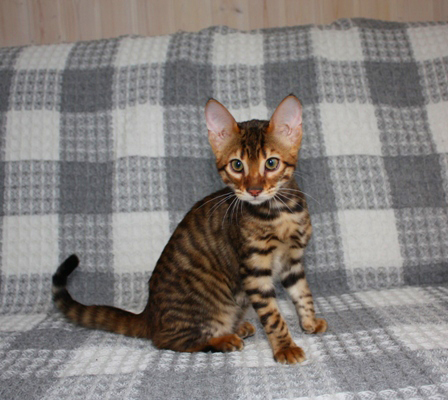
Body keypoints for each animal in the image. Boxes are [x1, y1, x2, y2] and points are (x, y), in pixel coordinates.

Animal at [52, 94, 327, 364]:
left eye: (271, 163)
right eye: (237, 166)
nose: (254, 190)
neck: (279, 213)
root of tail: (149, 314)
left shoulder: (293, 261)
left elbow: (303, 293)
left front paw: (310, 322)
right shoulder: (254, 269)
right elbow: (272, 315)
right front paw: (285, 348)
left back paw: (238, 328)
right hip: (207, 307)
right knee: (167, 341)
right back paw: (223, 340)